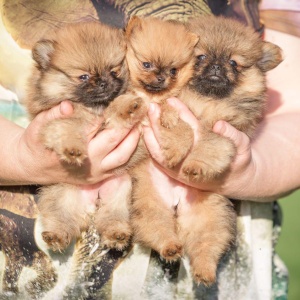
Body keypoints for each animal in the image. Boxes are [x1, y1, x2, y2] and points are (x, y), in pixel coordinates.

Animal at [24, 20, 145, 251]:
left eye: (114, 71)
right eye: (84, 76)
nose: (103, 82)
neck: (93, 108)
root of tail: (92, 199)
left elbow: (117, 107)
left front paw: (128, 106)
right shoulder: (56, 119)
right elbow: (68, 128)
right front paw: (73, 150)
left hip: (120, 190)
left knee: (112, 215)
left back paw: (116, 234)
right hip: (63, 193)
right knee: (62, 217)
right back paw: (56, 235)